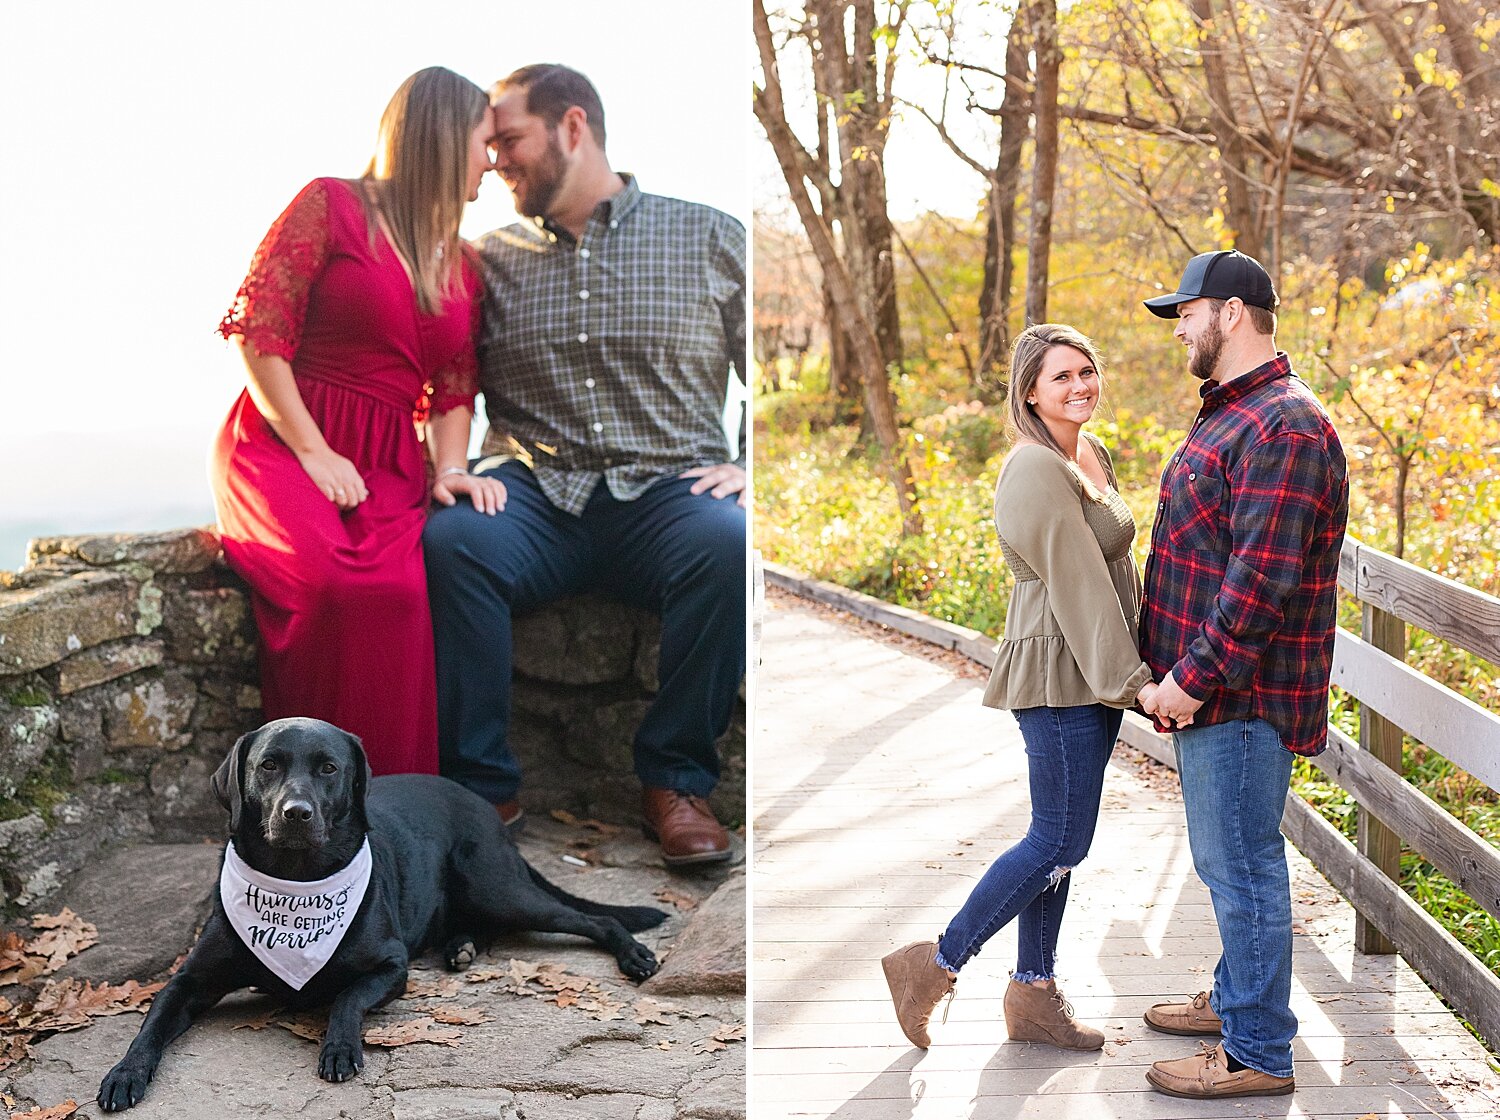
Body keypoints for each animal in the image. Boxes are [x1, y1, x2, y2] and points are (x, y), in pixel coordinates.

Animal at [102, 719, 666, 1115]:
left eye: (329, 768)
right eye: (268, 765)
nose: (296, 813)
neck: (297, 880)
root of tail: (481, 803)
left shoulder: (392, 967)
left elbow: (347, 997)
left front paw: (339, 1048)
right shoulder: (190, 980)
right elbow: (150, 1024)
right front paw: (125, 1073)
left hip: (496, 888)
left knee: (593, 920)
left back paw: (634, 955)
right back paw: (461, 946)